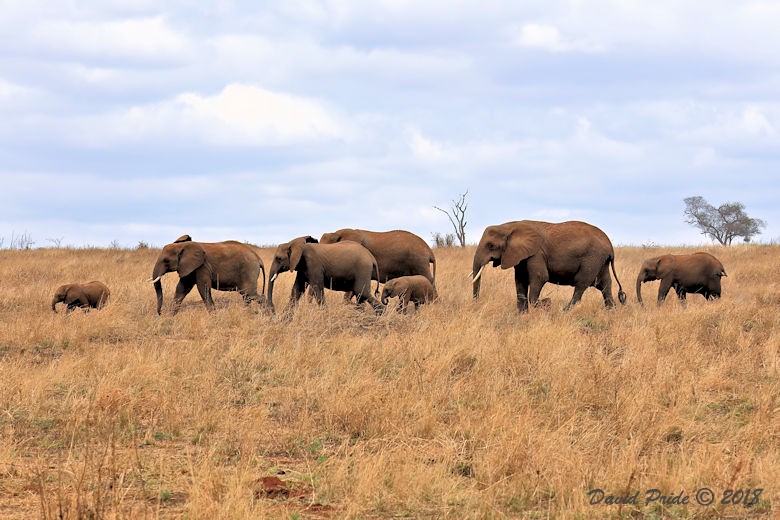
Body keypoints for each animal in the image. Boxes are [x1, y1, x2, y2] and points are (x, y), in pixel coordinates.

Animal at [470, 220, 628, 312]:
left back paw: (564, 311)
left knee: (581, 283)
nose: (476, 304)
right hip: (600, 261)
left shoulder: (537, 254)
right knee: (604, 284)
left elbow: (540, 278)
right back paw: (611, 312)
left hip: (592, 258)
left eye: (491, 245)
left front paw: (546, 303)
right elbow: (520, 281)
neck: (509, 226)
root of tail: (610, 246)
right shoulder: (521, 256)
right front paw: (522, 314)